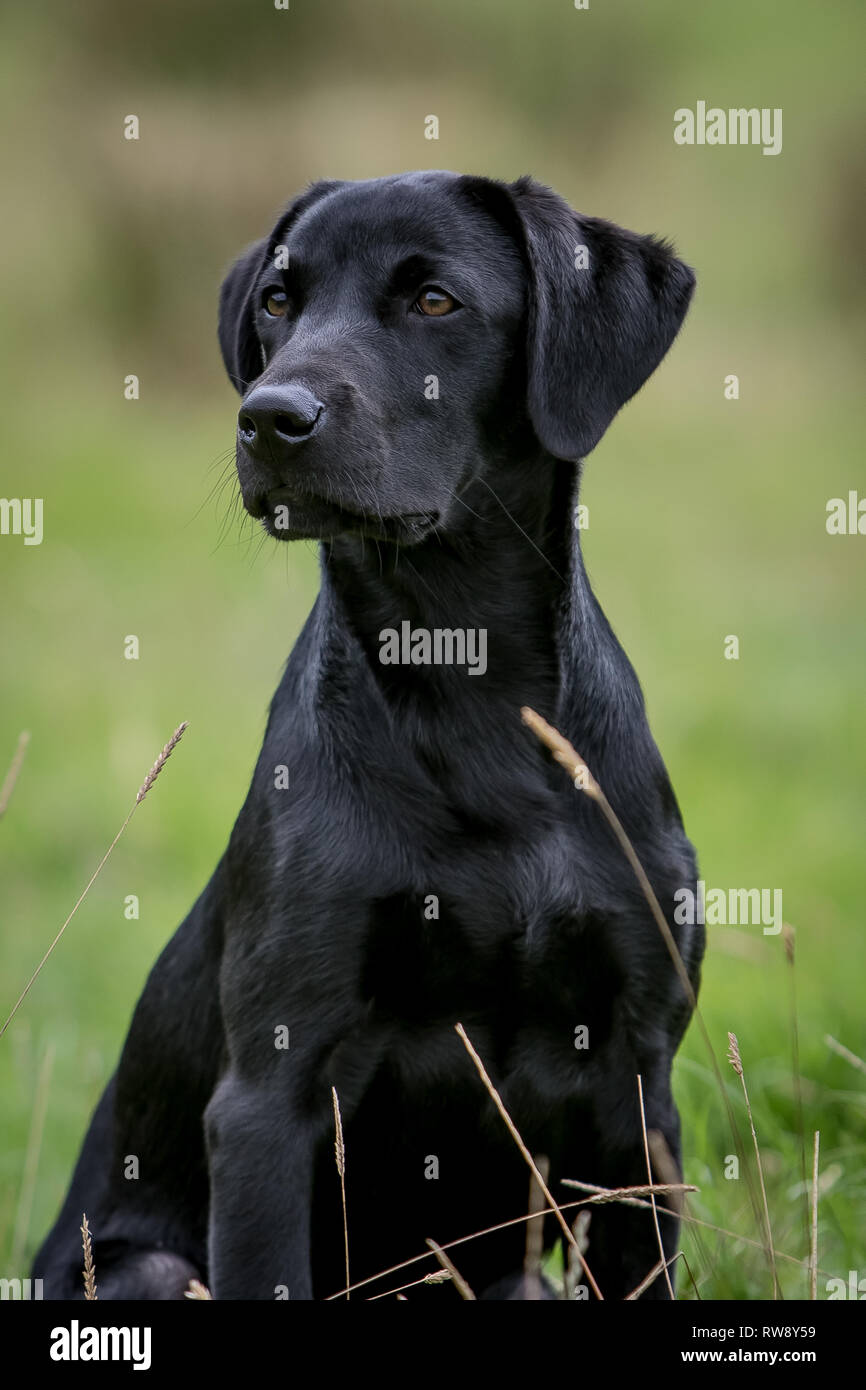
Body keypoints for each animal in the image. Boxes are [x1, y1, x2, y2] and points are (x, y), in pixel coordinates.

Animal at [37, 173, 708, 1301]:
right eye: (278, 301)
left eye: (435, 301)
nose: (269, 418)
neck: (464, 686)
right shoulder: (270, 1091)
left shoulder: (634, 1086)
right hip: (153, 1272)